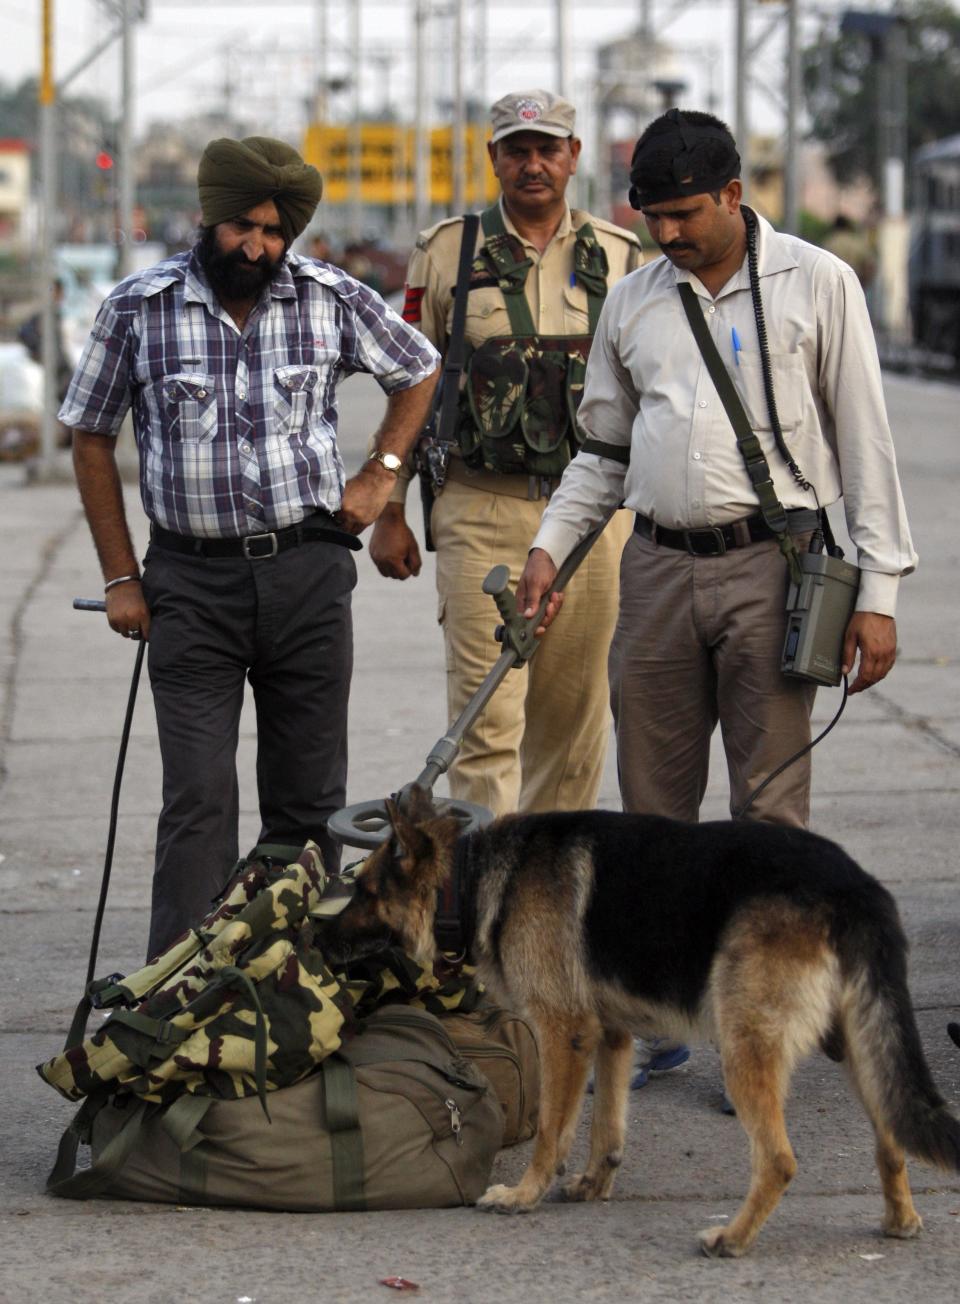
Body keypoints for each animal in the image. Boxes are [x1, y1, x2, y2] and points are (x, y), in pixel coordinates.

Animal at [324, 782, 960, 1251]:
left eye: (363, 891)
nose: (318, 936)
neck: (472, 877)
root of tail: (855, 887)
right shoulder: (610, 1035)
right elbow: (606, 1124)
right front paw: (592, 1183)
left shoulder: (564, 1033)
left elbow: (552, 1129)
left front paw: (523, 1196)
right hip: (857, 1048)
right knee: (891, 1139)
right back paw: (900, 1221)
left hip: (744, 1046)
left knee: (779, 1159)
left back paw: (733, 1238)